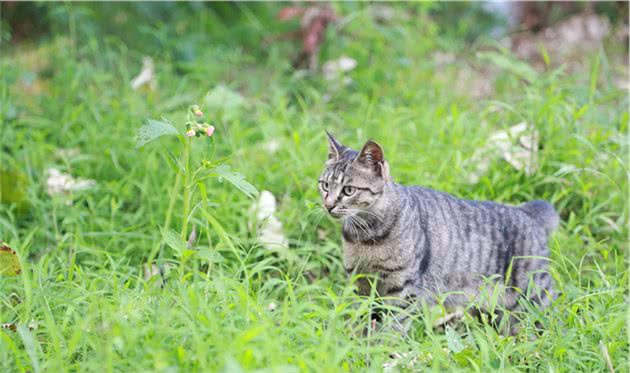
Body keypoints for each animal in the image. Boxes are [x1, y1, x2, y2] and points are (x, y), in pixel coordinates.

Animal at [318, 131, 560, 332]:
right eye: (324, 185)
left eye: (349, 190)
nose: (328, 205)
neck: (365, 236)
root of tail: (528, 212)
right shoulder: (360, 282)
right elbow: (364, 318)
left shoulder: (401, 287)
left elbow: (394, 325)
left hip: (534, 299)